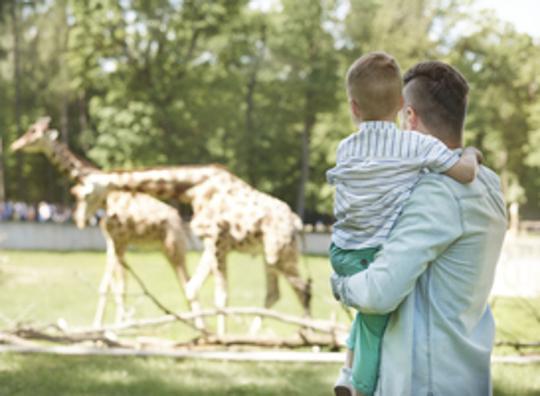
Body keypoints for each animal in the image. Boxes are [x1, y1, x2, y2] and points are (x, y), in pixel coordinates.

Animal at [9, 117, 204, 328]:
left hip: (173, 247)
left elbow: (118, 285)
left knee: (187, 283)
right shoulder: (111, 240)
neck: (106, 199)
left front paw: (118, 325)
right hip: (167, 248)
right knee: (186, 284)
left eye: (33, 132)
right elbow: (109, 284)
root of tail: (181, 222)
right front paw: (102, 324)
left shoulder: (120, 240)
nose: (15, 145)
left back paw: (201, 325)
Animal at [70, 164, 312, 334]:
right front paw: (206, 334)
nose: (81, 220)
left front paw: (221, 339)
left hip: (279, 254)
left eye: (86, 194)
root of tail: (298, 223)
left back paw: (310, 337)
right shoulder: (210, 242)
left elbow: (220, 295)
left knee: (304, 289)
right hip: (271, 256)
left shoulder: (217, 239)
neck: (193, 188)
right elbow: (193, 287)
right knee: (275, 293)